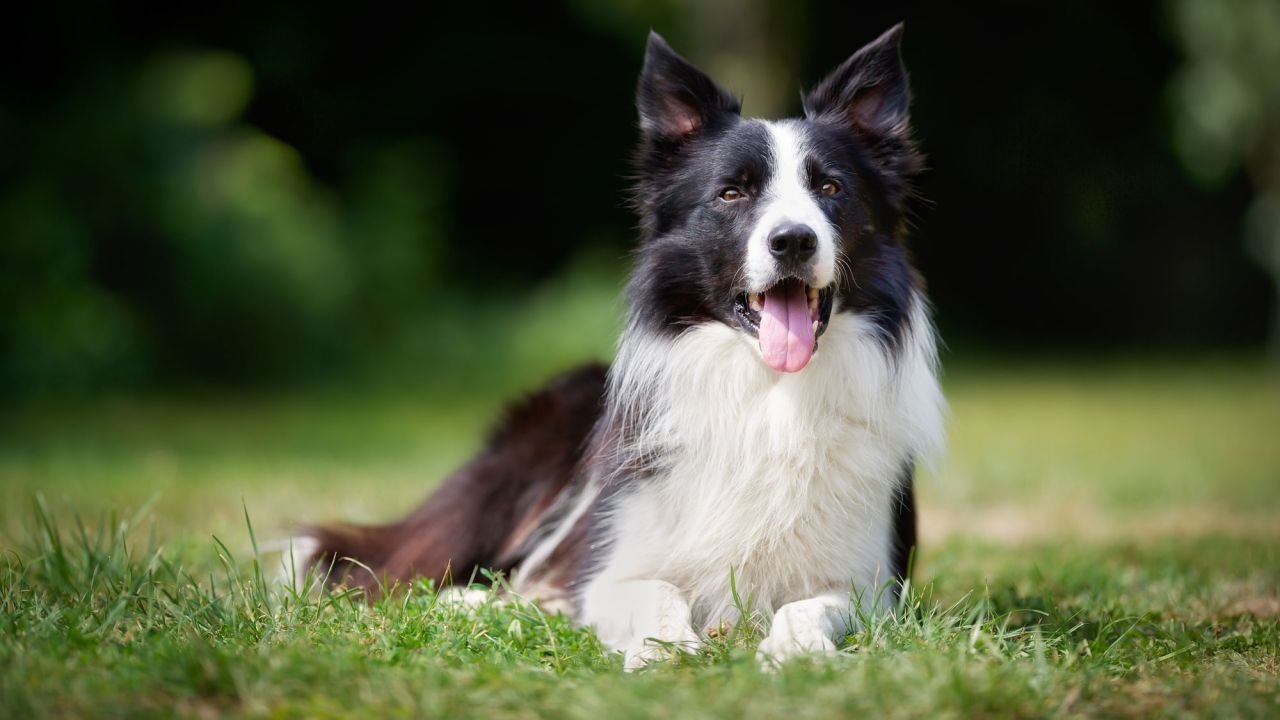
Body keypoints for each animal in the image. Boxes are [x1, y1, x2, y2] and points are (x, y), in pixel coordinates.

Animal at [294, 26, 947, 666]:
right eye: (731, 194)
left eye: (831, 187)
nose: (793, 240)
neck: (767, 393)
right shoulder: (611, 566)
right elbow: (654, 592)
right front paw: (666, 651)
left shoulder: (872, 584)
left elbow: (810, 605)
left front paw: (797, 649)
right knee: (413, 575)